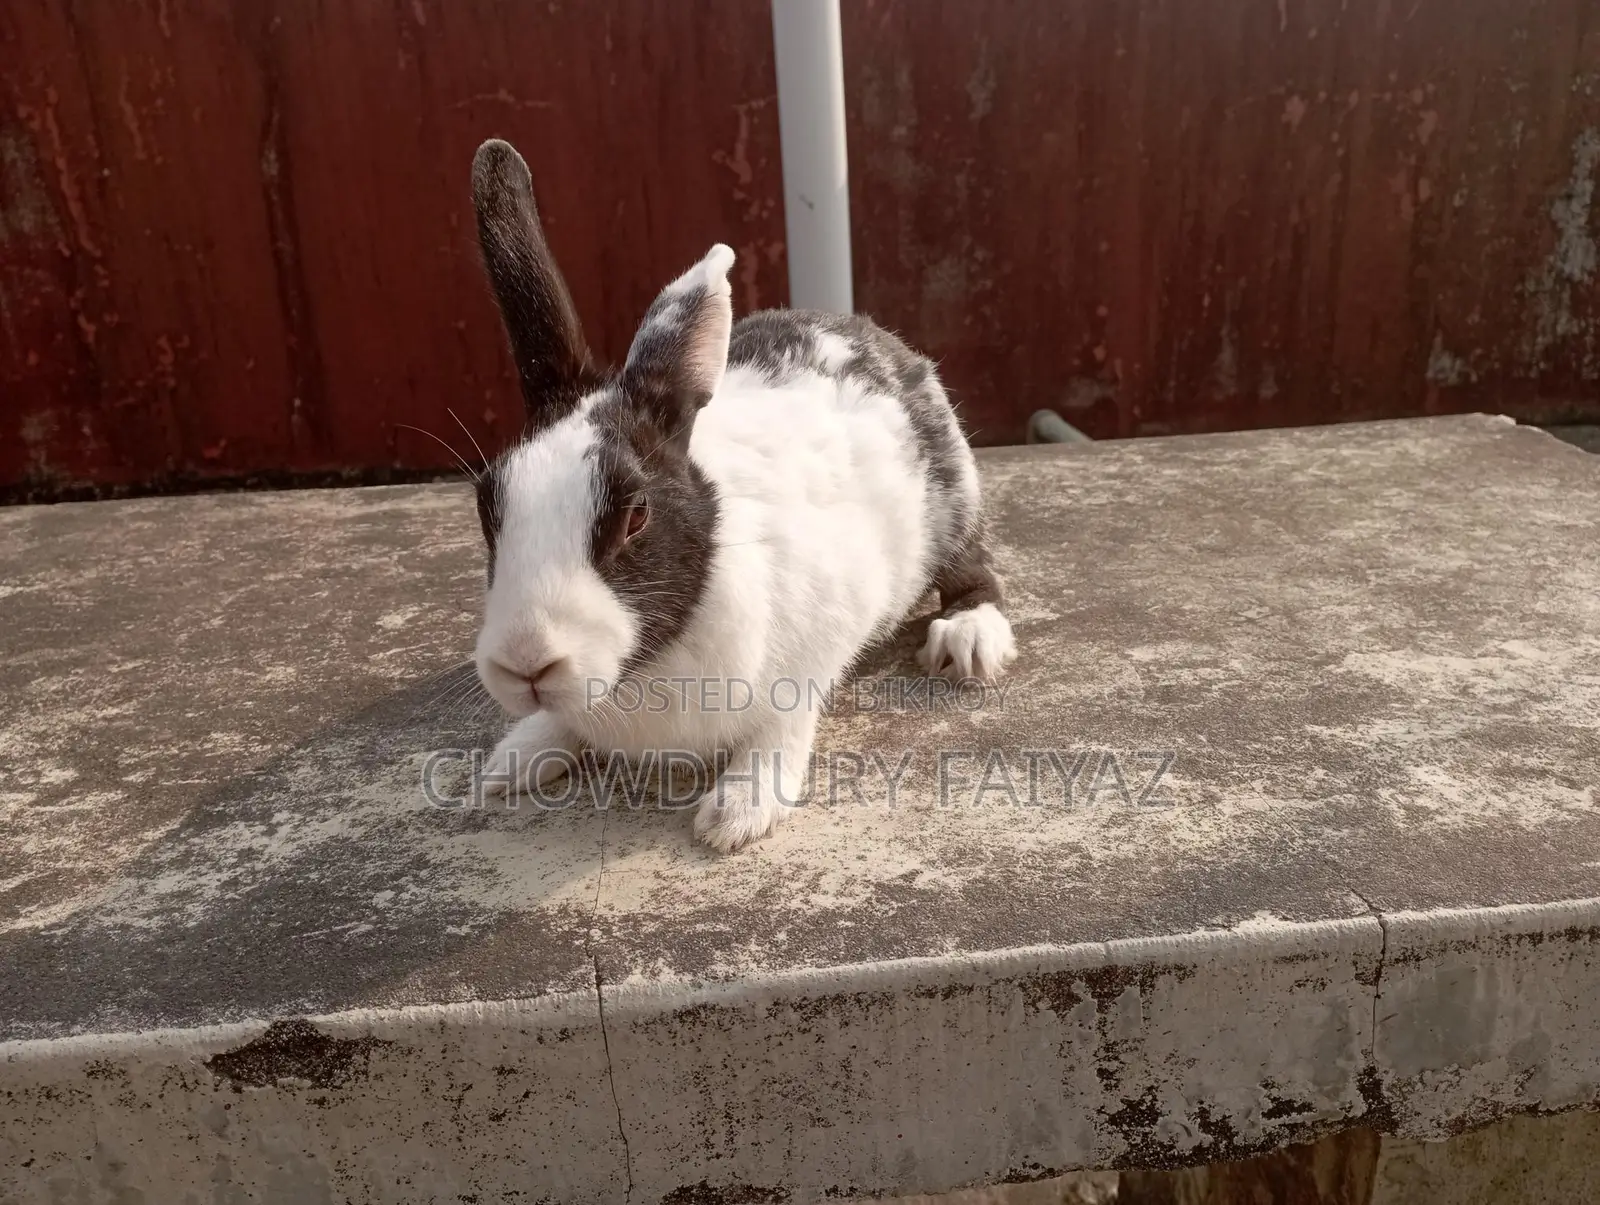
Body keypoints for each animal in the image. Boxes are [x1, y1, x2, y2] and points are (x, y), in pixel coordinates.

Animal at [466, 138, 1017, 853]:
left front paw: (736, 813)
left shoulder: (819, 643)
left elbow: (782, 725)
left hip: (957, 500)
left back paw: (968, 641)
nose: (526, 662)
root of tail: (874, 335)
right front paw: (514, 760)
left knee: (975, 572)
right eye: (487, 504)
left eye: (636, 515)